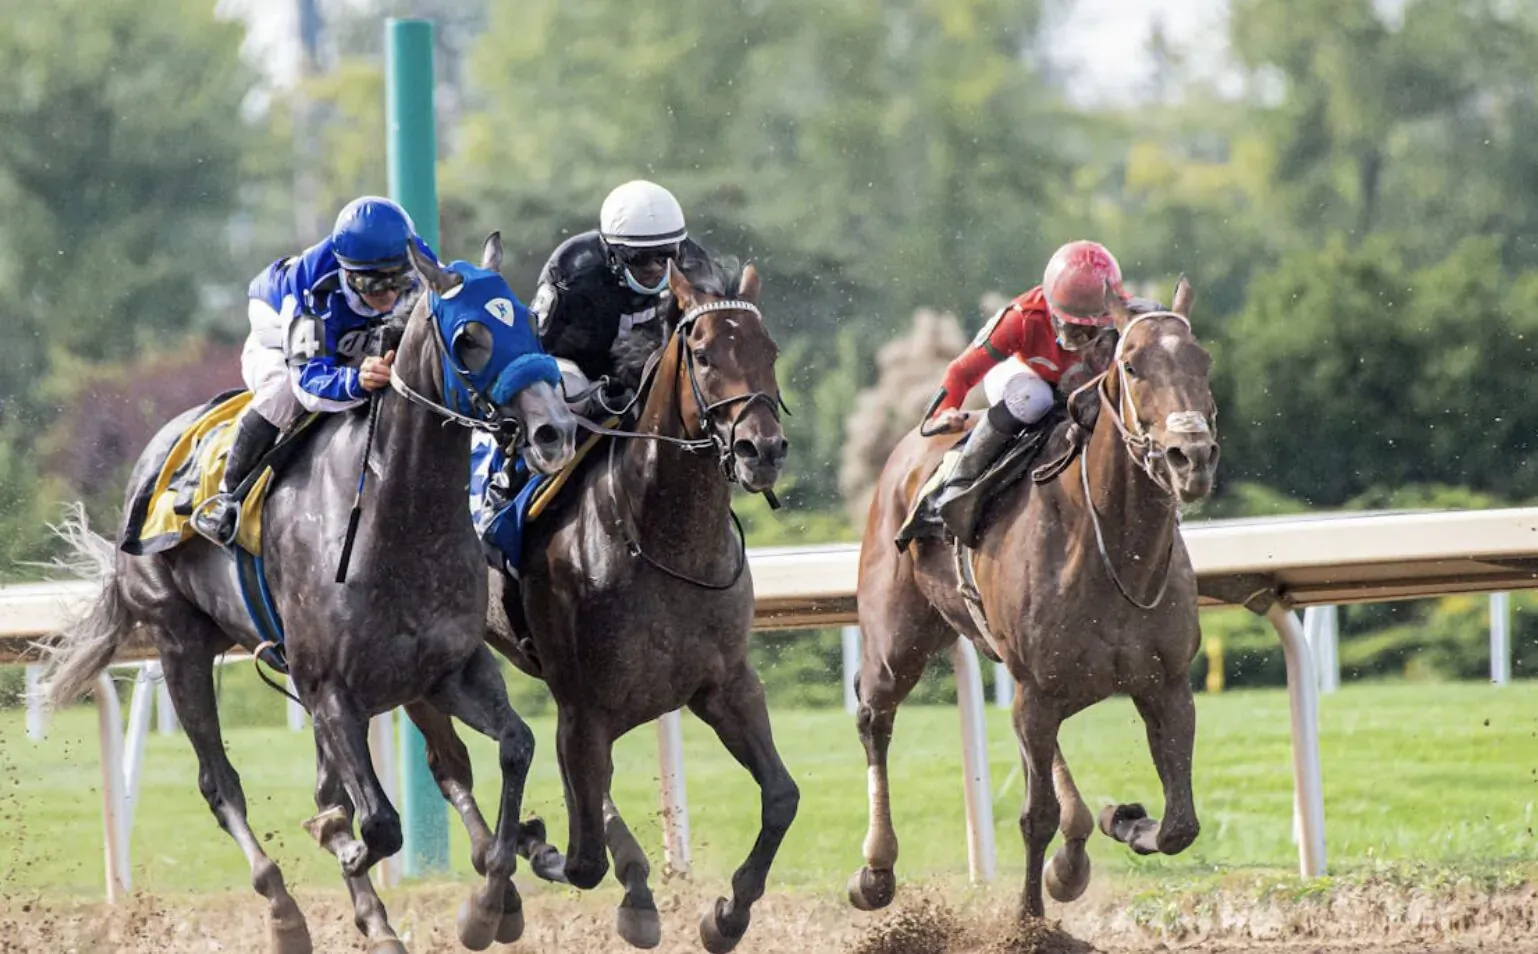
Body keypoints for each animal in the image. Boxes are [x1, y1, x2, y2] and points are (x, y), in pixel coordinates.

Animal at [36, 233, 579, 954]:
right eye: (470, 337)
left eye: (529, 322)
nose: (554, 432)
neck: (396, 517)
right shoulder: (330, 689)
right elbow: (373, 822)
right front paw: (341, 844)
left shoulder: (449, 669)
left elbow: (514, 747)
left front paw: (490, 904)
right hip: (179, 642)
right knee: (220, 784)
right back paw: (285, 912)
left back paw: (378, 916)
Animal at [405, 248, 799, 953]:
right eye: (702, 354)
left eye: (769, 349)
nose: (763, 450)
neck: (661, 542)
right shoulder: (583, 710)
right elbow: (581, 858)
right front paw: (527, 850)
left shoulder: (726, 685)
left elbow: (781, 797)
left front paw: (726, 916)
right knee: (449, 765)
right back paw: (501, 887)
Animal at [847, 279, 1219, 923]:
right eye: (1132, 365)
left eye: (1203, 361)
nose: (1190, 457)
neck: (1111, 549)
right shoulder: (1038, 690)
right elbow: (1034, 815)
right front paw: (1027, 923)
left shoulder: (1166, 683)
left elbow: (1179, 825)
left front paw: (1122, 818)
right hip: (898, 640)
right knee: (875, 714)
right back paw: (876, 869)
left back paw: (1074, 853)